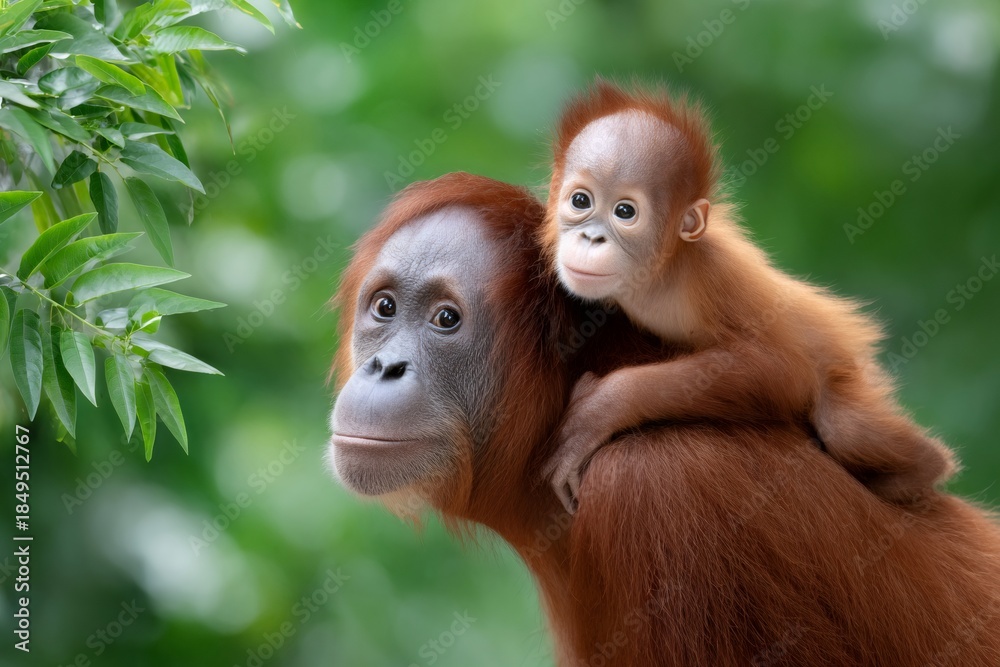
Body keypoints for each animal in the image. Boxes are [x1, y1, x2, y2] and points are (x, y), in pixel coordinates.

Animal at [540, 80, 955, 512]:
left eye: (625, 211)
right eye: (581, 201)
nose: (591, 237)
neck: (662, 272)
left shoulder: (717, 280)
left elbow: (779, 367)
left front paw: (601, 410)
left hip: (845, 374)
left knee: (845, 429)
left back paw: (921, 470)